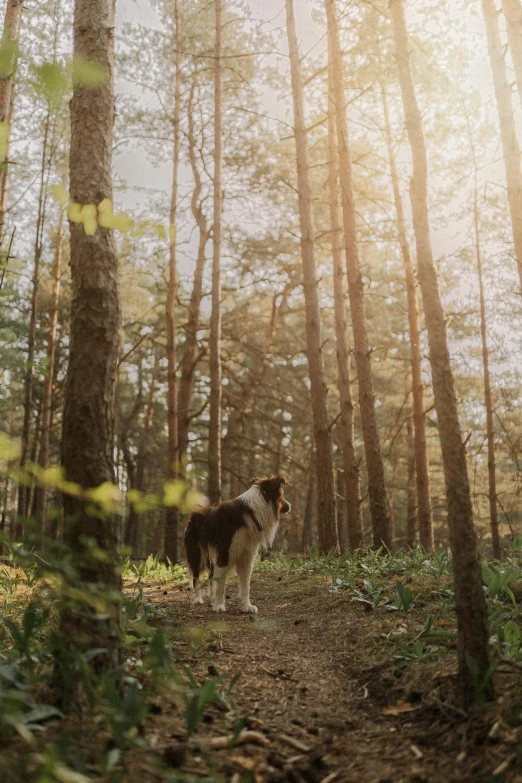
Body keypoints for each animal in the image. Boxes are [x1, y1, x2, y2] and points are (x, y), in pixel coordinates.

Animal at [183, 474, 288, 616]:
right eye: (282, 495)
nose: (289, 506)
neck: (252, 512)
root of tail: (193, 515)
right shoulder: (224, 554)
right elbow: (221, 585)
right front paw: (219, 605)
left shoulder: (246, 557)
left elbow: (245, 586)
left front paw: (246, 606)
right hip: (197, 553)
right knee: (196, 576)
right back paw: (198, 599)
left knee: (211, 576)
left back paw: (212, 598)